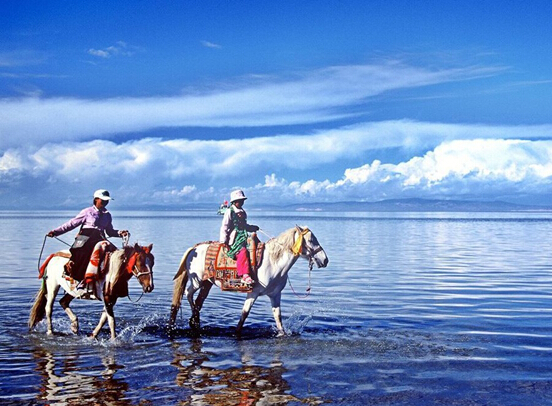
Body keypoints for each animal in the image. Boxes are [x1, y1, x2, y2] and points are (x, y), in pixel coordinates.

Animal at [169, 225, 328, 336]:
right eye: (311, 240)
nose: (325, 260)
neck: (273, 263)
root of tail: (193, 248)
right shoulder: (253, 293)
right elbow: (244, 315)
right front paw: (236, 333)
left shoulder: (275, 295)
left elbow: (278, 318)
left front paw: (282, 333)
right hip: (197, 281)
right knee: (188, 293)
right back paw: (194, 320)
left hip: (207, 283)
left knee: (198, 301)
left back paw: (195, 321)